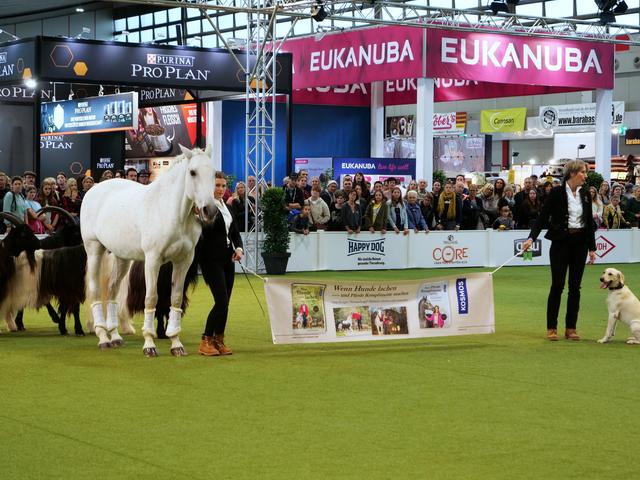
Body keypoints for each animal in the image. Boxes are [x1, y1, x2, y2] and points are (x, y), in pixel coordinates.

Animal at [80, 145, 217, 357]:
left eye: (213, 173)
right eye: (192, 172)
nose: (209, 211)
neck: (169, 211)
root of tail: (94, 189)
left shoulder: (183, 261)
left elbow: (175, 299)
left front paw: (176, 344)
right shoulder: (153, 260)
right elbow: (151, 298)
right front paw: (149, 345)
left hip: (122, 258)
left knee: (112, 290)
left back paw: (115, 336)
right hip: (94, 250)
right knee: (96, 291)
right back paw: (103, 337)